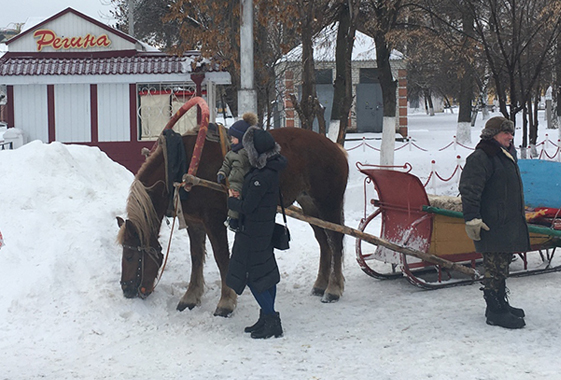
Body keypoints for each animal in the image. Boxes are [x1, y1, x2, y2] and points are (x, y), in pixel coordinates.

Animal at [116, 126, 348, 316]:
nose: (126, 289)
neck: (184, 166)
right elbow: (196, 257)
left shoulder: (214, 221)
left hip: (328, 204)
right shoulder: (194, 223)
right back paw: (320, 284)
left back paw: (333, 289)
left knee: (336, 242)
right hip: (309, 205)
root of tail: (337, 148)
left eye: (130, 255)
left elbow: (221, 258)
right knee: (324, 243)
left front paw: (226, 302)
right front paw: (191, 297)